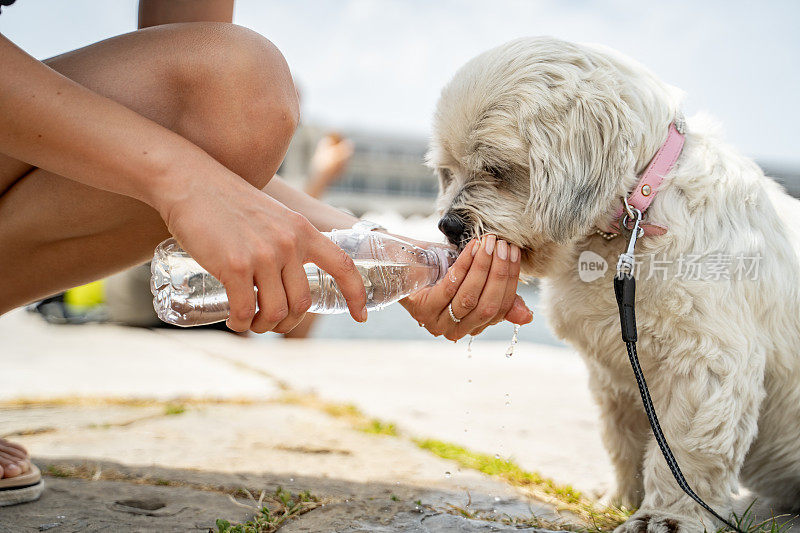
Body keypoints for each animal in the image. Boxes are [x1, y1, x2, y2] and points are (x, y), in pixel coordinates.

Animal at [432, 35, 800, 528]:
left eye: (496, 169)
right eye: (447, 172)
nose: (449, 225)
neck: (636, 213)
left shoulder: (705, 362)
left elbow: (684, 449)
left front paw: (668, 516)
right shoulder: (622, 371)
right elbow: (627, 440)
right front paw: (623, 499)